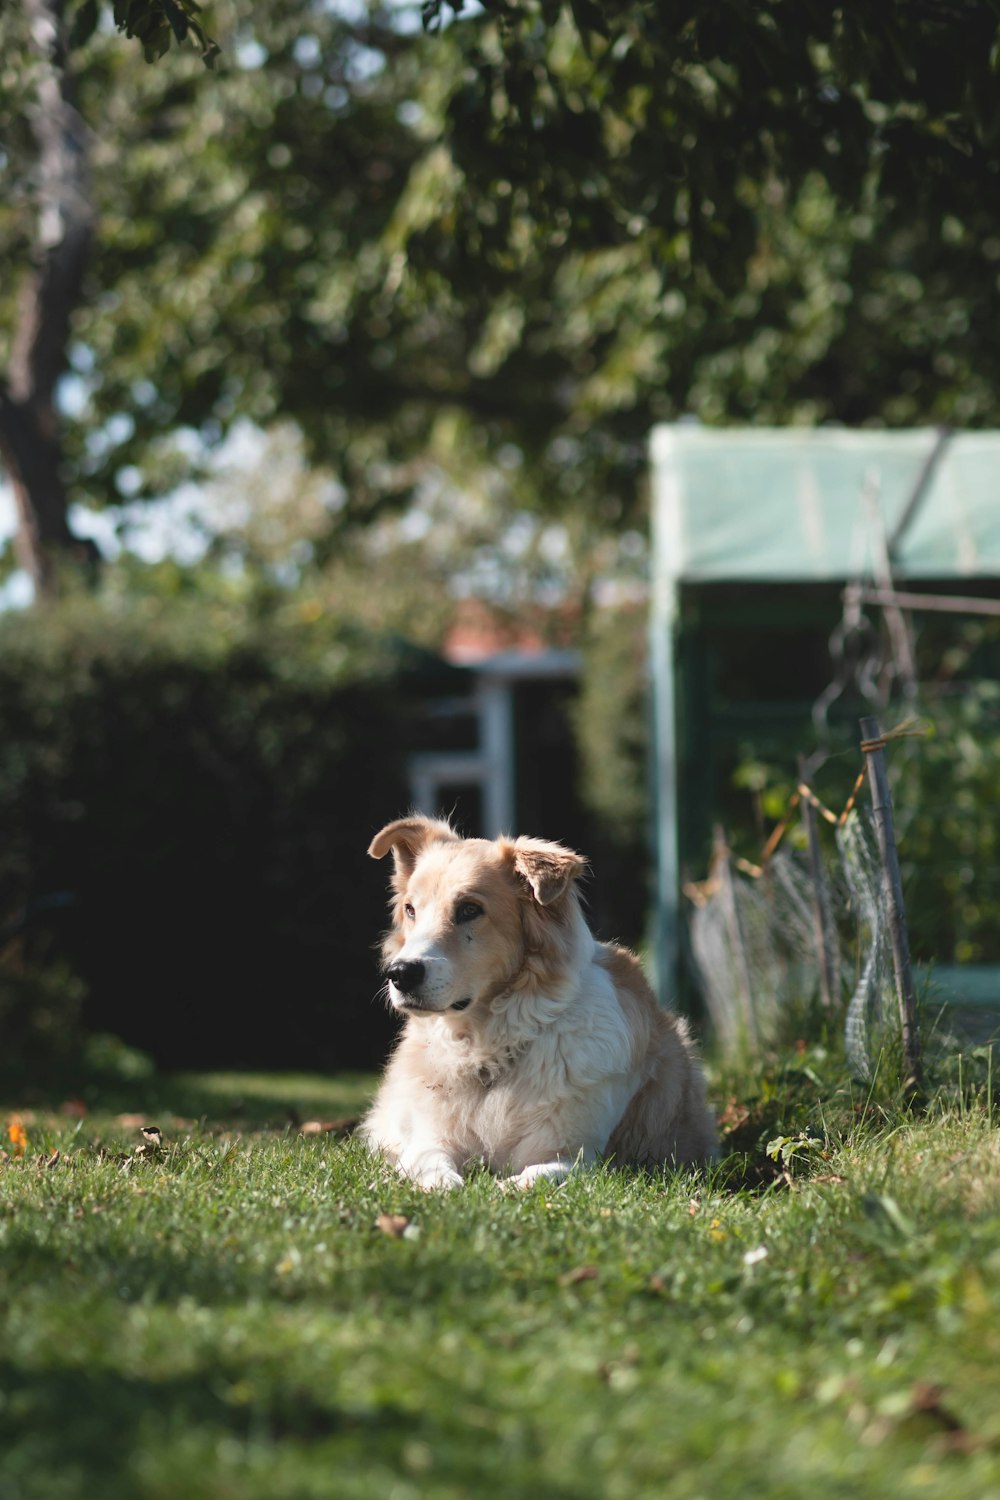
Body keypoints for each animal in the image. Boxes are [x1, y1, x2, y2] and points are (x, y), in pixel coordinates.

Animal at [361, 816, 719, 1188]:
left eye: (470, 910)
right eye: (410, 910)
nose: (399, 974)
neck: (491, 1046)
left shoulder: (577, 1158)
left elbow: (535, 1176)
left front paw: (498, 1190)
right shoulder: (429, 1139)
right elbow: (432, 1164)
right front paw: (445, 1187)